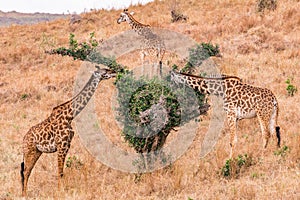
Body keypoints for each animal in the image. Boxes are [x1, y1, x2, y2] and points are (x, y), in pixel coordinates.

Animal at [19, 66, 115, 196]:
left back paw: (24, 193)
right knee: (26, 171)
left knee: (26, 171)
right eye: (105, 71)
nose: (114, 71)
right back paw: (24, 195)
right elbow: (60, 171)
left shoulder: (67, 145)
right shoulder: (62, 145)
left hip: (37, 152)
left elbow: (62, 171)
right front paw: (60, 192)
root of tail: (24, 139)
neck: (70, 116)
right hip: (30, 151)